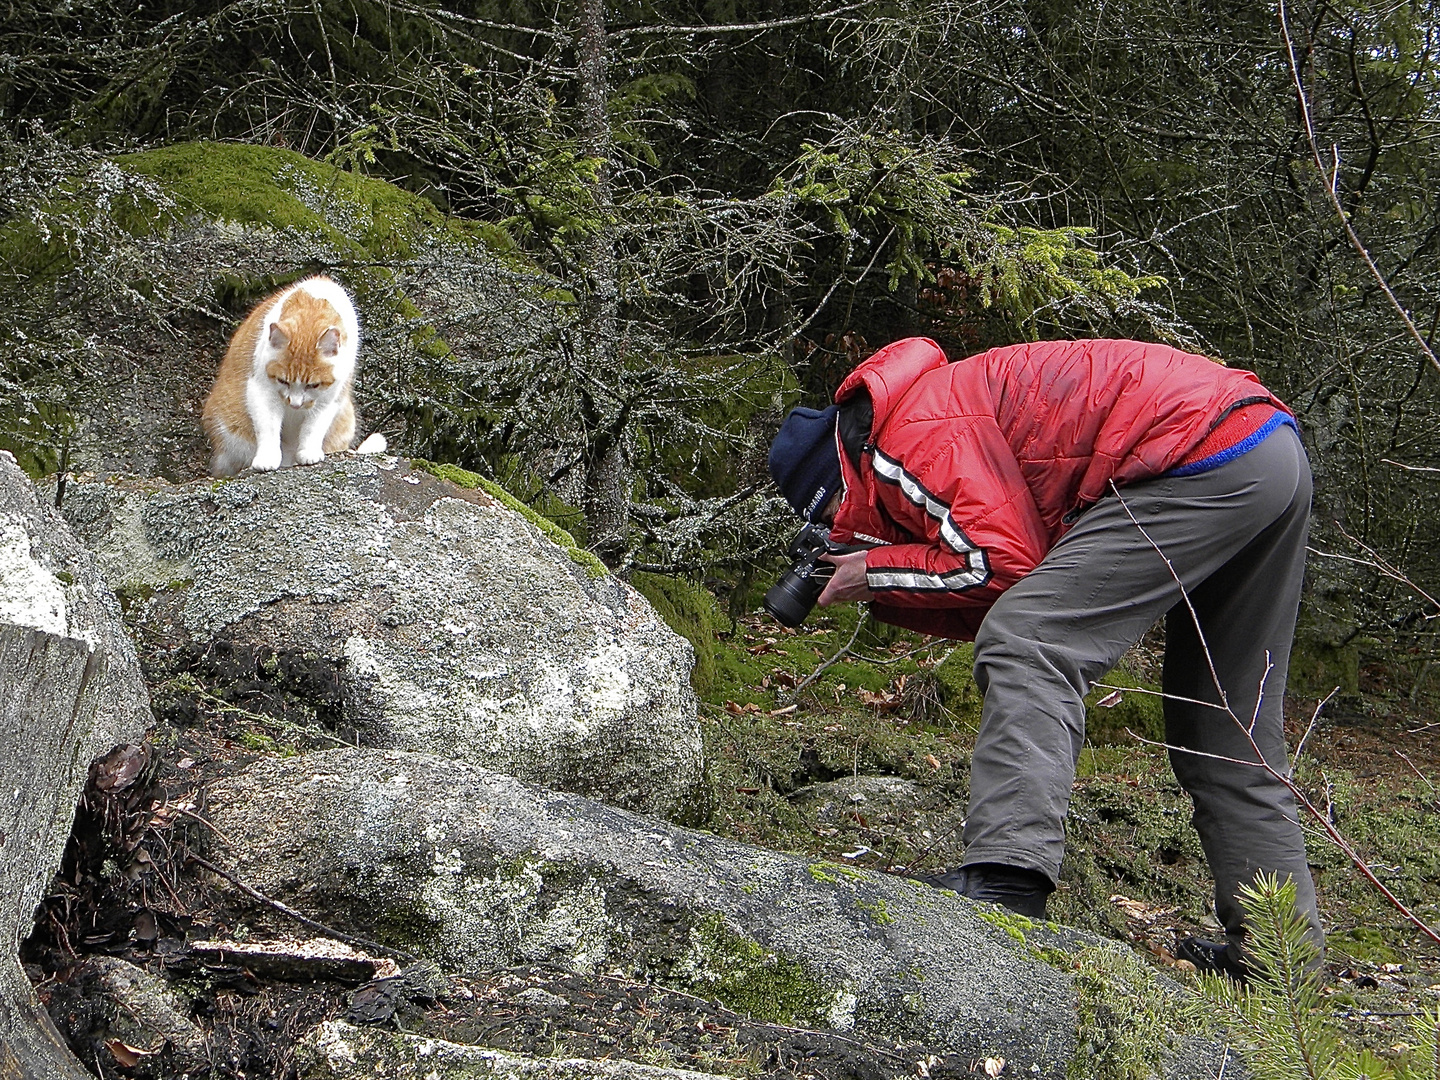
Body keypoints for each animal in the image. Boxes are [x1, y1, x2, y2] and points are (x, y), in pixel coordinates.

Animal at [203, 279, 385, 478]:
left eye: (313, 385)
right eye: (283, 381)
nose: (295, 404)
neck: (312, 306)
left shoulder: (329, 399)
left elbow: (314, 427)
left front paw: (308, 452)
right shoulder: (262, 392)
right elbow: (268, 428)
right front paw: (267, 458)